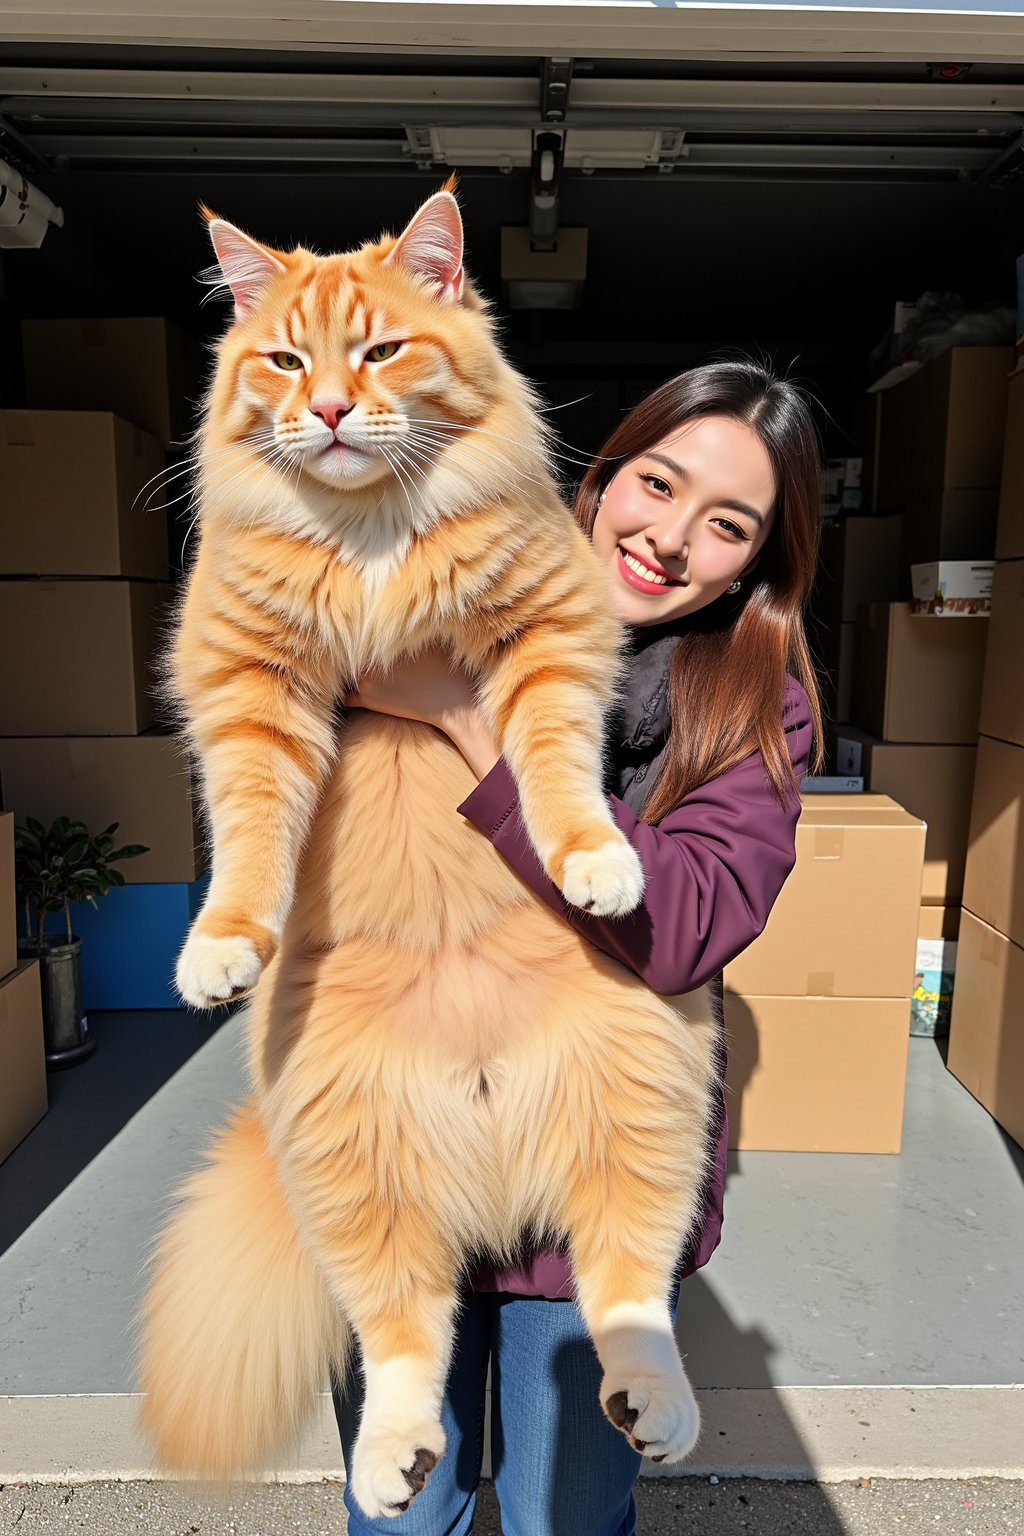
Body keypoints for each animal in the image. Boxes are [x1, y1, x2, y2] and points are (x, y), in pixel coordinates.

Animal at [140, 185, 721, 1517]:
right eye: (284, 361)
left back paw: (654, 1407)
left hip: (648, 1100)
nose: (328, 411)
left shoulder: (546, 641)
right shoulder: (247, 691)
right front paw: (221, 950)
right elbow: (247, 834)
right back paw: (391, 1461)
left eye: (381, 350)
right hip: (351, 1157)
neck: (368, 534)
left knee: (628, 1293)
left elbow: (554, 772)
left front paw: (597, 863)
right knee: (409, 1332)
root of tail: (489, 1129)